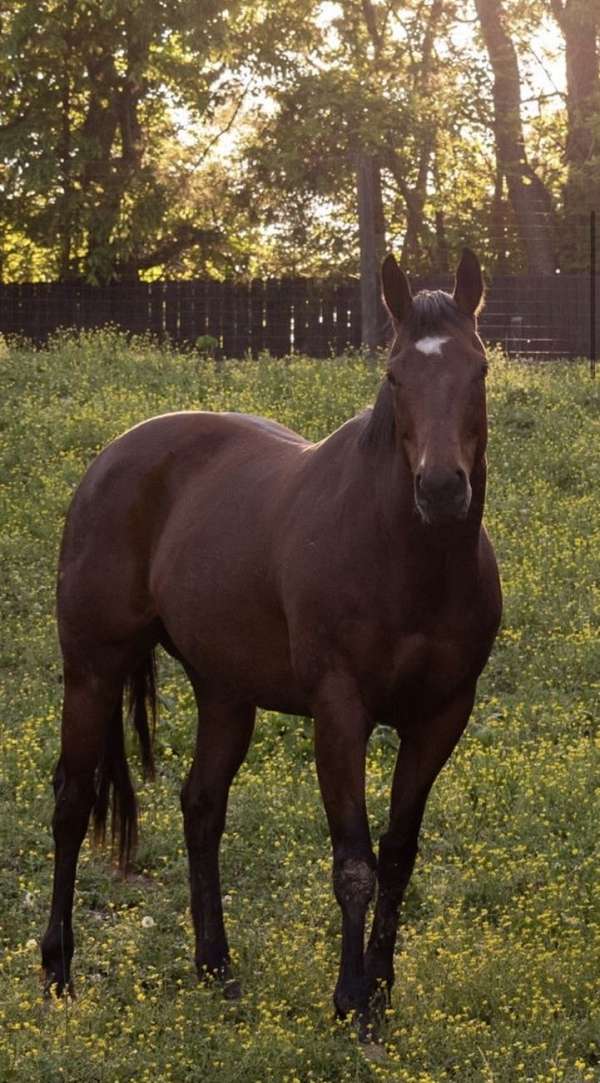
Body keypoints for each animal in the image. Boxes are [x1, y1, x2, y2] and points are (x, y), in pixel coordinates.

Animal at [42, 248, 501, 1034]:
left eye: (478, 370)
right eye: (395, 375)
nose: (442, 489)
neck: (406, 558)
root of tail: (113, 457)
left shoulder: (443, 716)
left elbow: (398, 853)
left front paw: (381, 989)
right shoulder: (340, 711)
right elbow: (354, 861)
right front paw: (351, 1001)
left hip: (226, 693)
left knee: (201, 807)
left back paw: (215, 966)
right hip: (92, 671)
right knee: (72, 802)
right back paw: (59, 969)